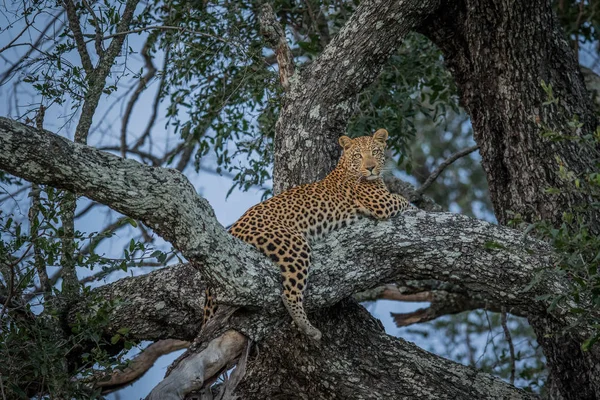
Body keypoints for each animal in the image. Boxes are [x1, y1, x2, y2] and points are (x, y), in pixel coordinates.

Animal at [205, 129, 412, 340]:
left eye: (375, 152)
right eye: (358, 156)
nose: (370, 168)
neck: (346, 167)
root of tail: (234, 228)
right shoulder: (383, 203)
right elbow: (404, 201)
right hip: (294, 245)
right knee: (289, 293)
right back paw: (309, 328)